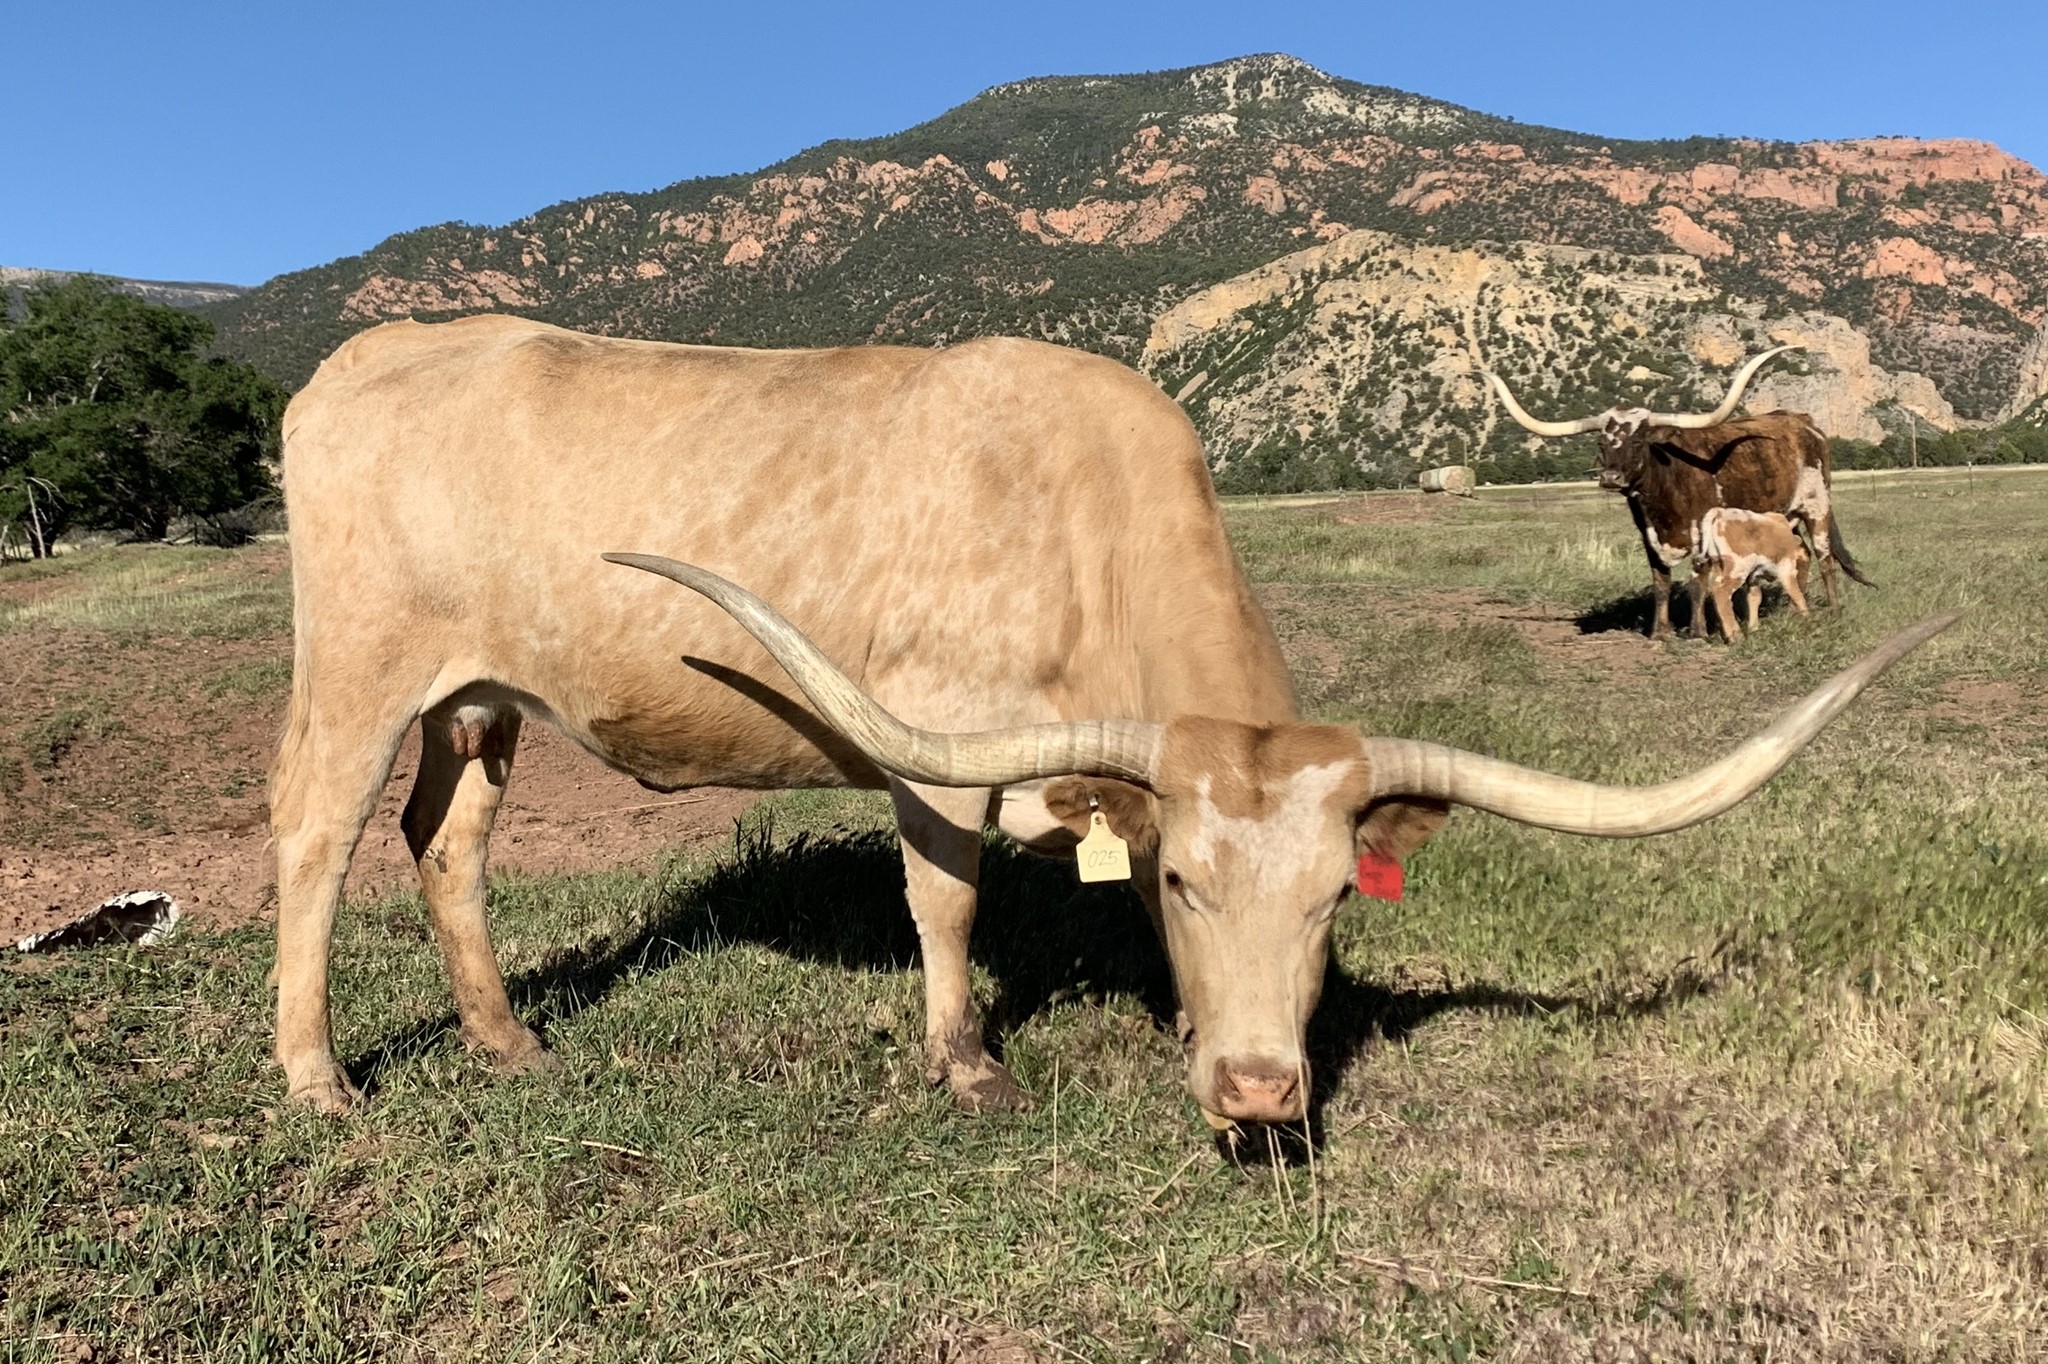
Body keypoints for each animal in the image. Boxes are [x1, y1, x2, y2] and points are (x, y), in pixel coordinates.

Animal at [1695, 508, 1810, 642]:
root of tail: (1721, 512)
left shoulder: (1754, 577)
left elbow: (1755, 598)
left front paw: (1754, 628)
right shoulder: (1786, 570)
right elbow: (1796, 593)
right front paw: (1807, 617)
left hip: (1719, 567)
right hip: (1738, 569)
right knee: (1721, 593)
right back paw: (1736, 636)